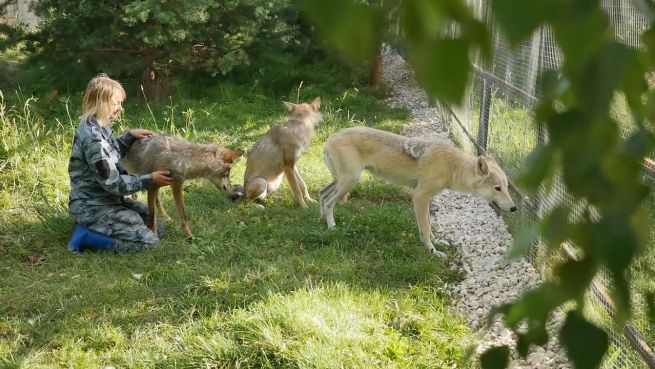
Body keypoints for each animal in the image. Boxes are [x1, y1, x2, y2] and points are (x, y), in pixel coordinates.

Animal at [320, 126, 516, 256]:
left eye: (506, 187)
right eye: (497, 188)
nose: (514, 208)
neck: (452, 167)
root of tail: (329, 138)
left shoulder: (426, 199)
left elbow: (429, 226)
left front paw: (437, 243)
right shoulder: (419, 197)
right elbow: (425, 228)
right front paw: (433, 251)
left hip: (342, 182)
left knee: (322, 194)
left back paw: (320, 221)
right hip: (349, 181)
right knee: (328, 202)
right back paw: (332, 227)